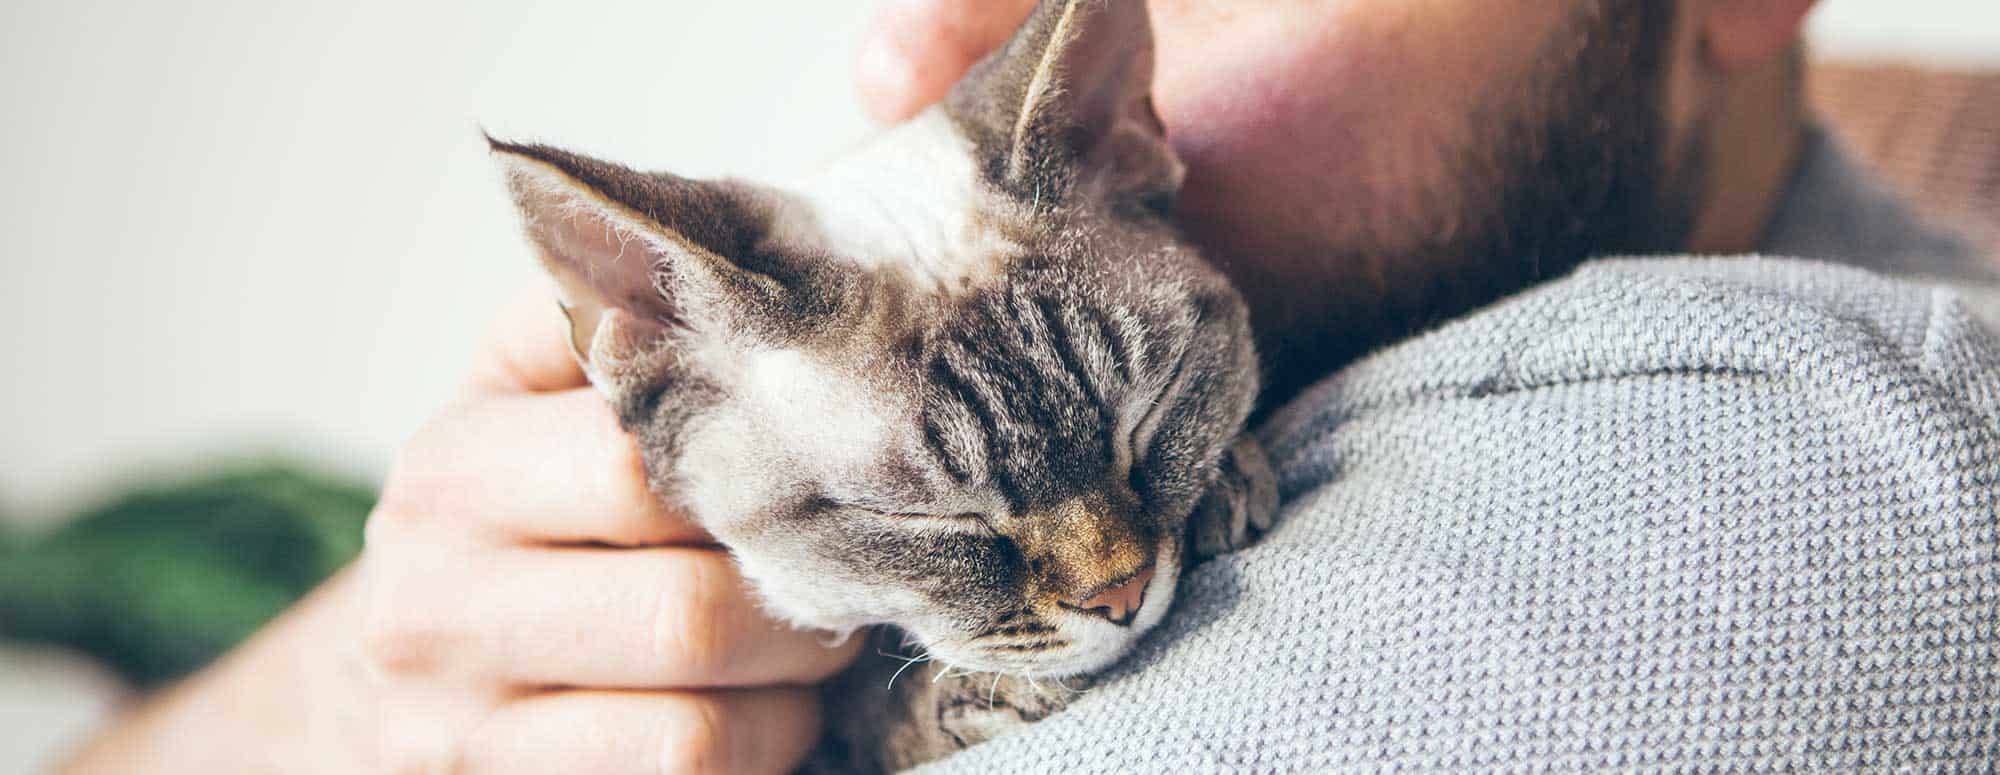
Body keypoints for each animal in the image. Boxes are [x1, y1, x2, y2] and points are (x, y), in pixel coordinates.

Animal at [490, 0, 1272, 767]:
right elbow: (877, 700)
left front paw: (1224, 480)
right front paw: (962, 694)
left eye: (1151, 410)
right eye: (928, 519)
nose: (1123, 592)